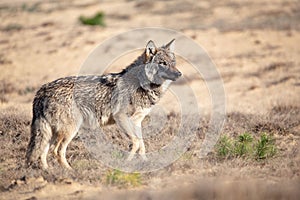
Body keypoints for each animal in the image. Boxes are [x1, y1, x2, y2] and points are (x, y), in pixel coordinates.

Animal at [25, 38, 182, 169]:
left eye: (173, 63)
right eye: (162, 63)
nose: (179, 74)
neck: (141, 84)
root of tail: (41, 91)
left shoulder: (137, 121)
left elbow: (142, 145)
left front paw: (146, 164)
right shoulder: (122, 118)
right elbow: (136, 143)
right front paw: (127, 164)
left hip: (52, 132)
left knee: (43, 152)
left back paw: (48, 171)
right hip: (70, 130)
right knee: (56, 151)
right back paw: (70, 172)